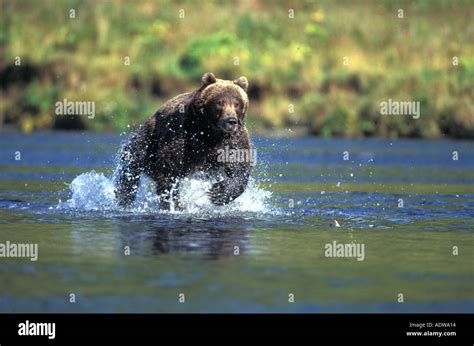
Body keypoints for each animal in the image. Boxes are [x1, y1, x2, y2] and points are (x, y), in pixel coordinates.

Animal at [115, 71, 254, 209]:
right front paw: (174, 201)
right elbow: (169, 167)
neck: (210, 132)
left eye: (237, 104)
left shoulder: (233, 140)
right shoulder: (184, 135)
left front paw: (217, 193)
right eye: (220, 102)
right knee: (132, 163)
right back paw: (124, 198)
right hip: (149, 137)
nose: (231, 121)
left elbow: (239, 165)